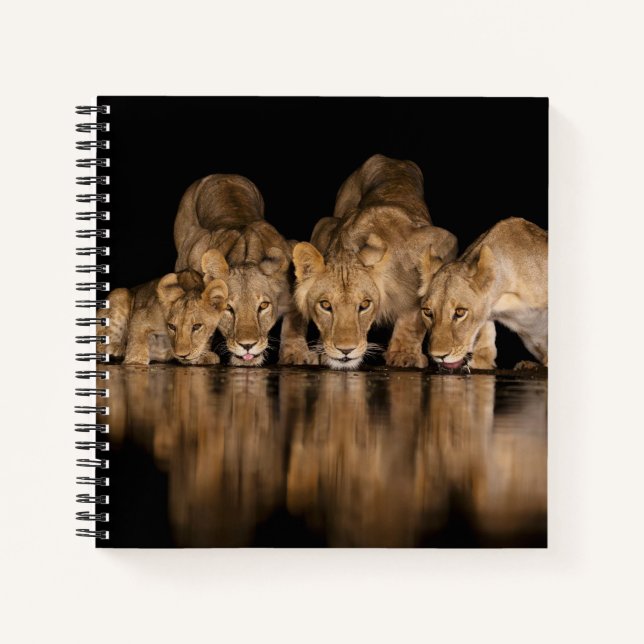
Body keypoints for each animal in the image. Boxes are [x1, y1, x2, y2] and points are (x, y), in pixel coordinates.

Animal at [98, 250, 229, 365]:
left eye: (196, 326)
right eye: (172, 326)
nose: (182, 355)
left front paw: (205, 355)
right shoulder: (141, 315)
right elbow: (137, 340)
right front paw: (135, 361)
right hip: (120, 293)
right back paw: (117, 348)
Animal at [173, 174, 312, 366]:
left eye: (263, 306)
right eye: (228, 308)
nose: (247, 345)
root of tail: (222, 174)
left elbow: (295, 323)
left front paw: (295, 353)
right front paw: (200, 354)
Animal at [290, 154, 458, 369]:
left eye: (364, 305)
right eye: (325, 305)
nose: (345, 350)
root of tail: (393, 159)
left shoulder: (443, 242)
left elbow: (415, 315)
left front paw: (404, 354)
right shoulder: (324, 227)